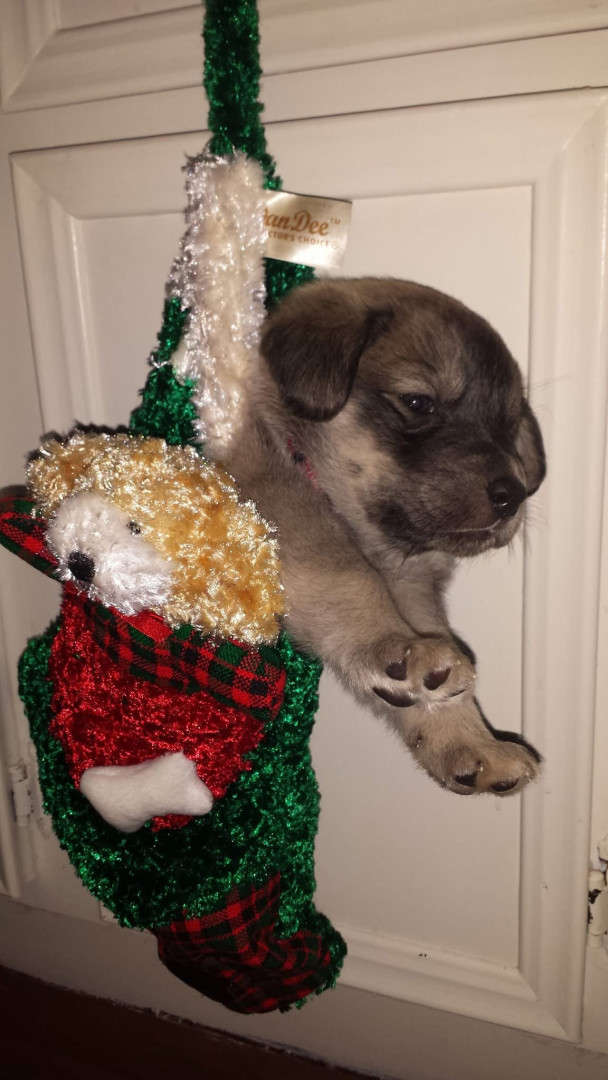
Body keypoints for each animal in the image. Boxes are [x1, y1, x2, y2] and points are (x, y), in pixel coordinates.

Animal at [219, 277, 545, 795]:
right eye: (417, 402)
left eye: (508, 424)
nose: (511, 495)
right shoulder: (277, 510)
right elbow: (346, 577)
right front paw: (398, 648)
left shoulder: (413, 596)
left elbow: (431, 690)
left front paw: (472, 745)